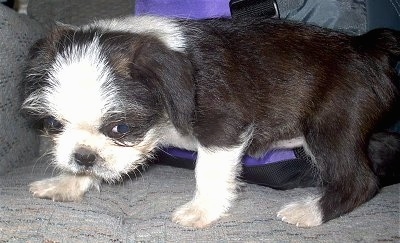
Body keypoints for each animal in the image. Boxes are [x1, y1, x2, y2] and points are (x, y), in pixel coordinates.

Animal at [21, 15, 400, 228]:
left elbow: (209, 172)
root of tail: (365, 46)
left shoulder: (223, 129)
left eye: (122, 129)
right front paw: (67, 183)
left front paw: (201, 212)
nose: (84, 157)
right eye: (52, 125)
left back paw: (309, 213)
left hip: (330, 128)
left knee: (360, 181)